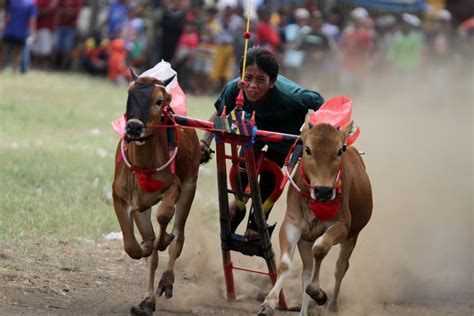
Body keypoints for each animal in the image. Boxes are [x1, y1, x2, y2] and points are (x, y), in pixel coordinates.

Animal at [112, 73, 201, 314]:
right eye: (130, 94)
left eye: (159, 100)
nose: (133, 128)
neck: (144, 164)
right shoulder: (123, 198)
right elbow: (133, 247)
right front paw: (145, 246)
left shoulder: (176, 188)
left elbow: (164, 218)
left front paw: (164, 239)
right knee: (151, 252)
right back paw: (147, 301)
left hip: (190, 187)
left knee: (179, 237)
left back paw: (167, 279)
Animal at [258, 120, 372, 314]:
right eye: (308, 149)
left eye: (340, 149)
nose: (323, 191)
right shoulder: (292, 224)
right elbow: (286, 265)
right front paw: (269, 302)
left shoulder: (342, 226)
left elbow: (320, 249)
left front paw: (319, 294)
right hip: (305, 240)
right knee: (307, 272)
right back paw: (304, 310)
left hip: (353, 236)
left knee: (340, 268)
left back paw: (332, 305)